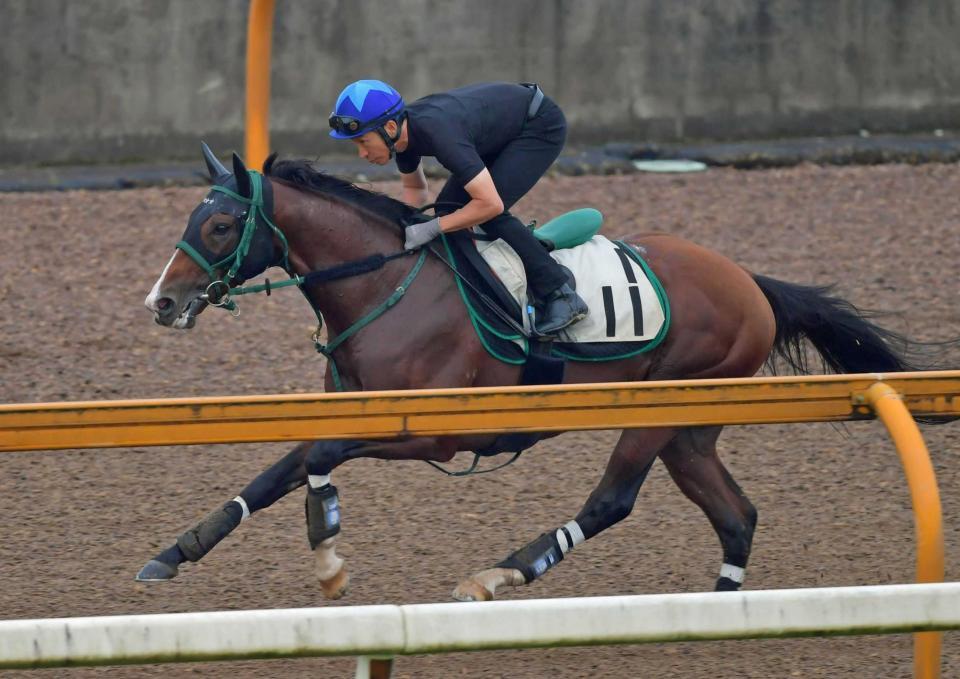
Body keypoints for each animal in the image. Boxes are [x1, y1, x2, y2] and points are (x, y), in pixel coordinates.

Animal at [142, 147, 936, 600]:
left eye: (220, 225)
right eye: (189, 218)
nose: (162, 302)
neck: (386, 286)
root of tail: (751, 284)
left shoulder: (433, 434)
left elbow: (320, 461)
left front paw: (329, 554)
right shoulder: (348, 411)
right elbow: (276, 470)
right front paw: (175, 551)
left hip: (657, 413)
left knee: (612, 500)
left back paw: (502, 573)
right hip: (690, 427)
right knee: (737, 514)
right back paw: (723, 609)